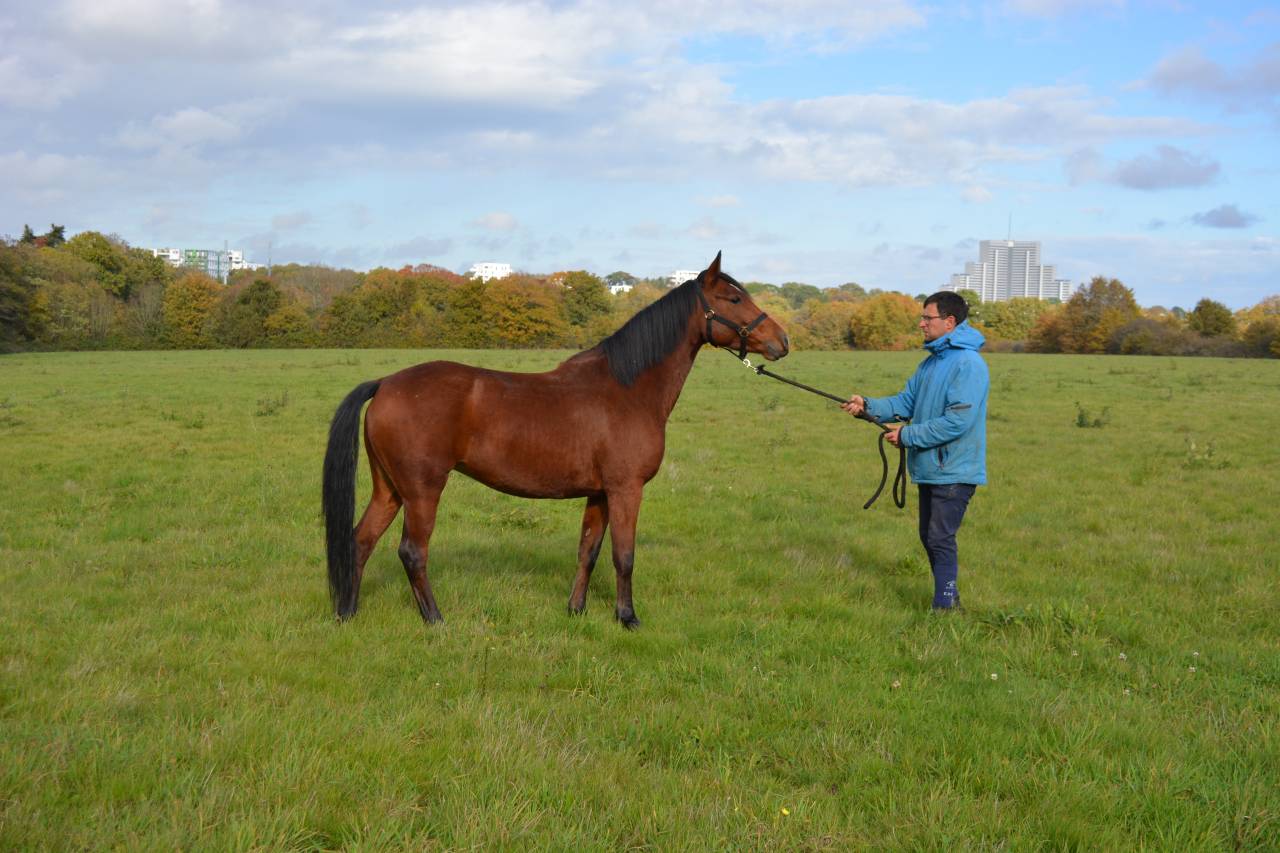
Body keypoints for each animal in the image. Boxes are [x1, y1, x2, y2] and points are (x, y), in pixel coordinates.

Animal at [322, 252, 790, 628]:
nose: (781, 341)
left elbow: (589, 551)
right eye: (733, 300)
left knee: (360, 541)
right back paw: (435, 619)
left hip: (389, 489)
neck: (627, 388)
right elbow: (624, 555)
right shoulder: (626, 490)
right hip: (422, 492)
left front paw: (576, 610)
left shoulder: (599, 493)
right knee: (412, 552)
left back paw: (348, 613)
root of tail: (386, 384)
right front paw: (627, 617)